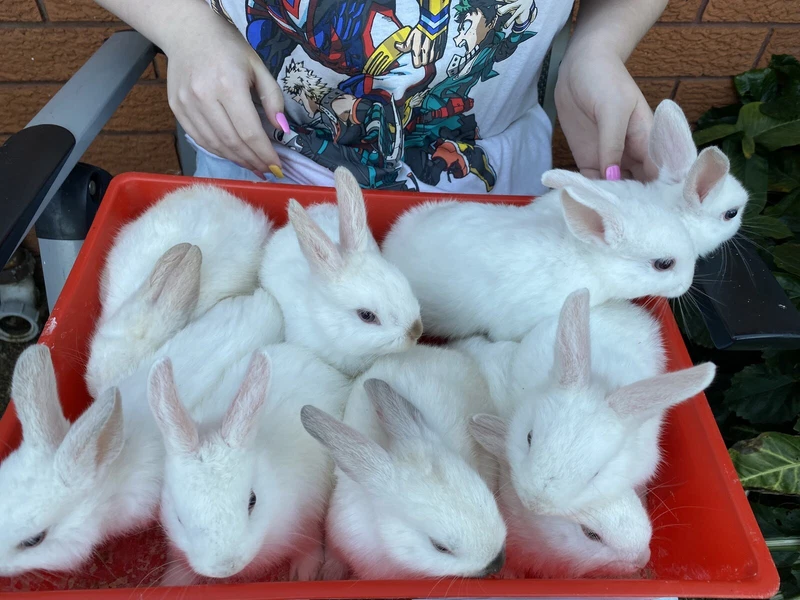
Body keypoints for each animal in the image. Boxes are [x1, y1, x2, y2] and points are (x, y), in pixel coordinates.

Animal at [149, 343, 350, 586]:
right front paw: (171, 582)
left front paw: (305, 574)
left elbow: (308, 544)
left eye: (252, 501)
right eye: (178, 517)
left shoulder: (309, 513)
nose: (225, 567)